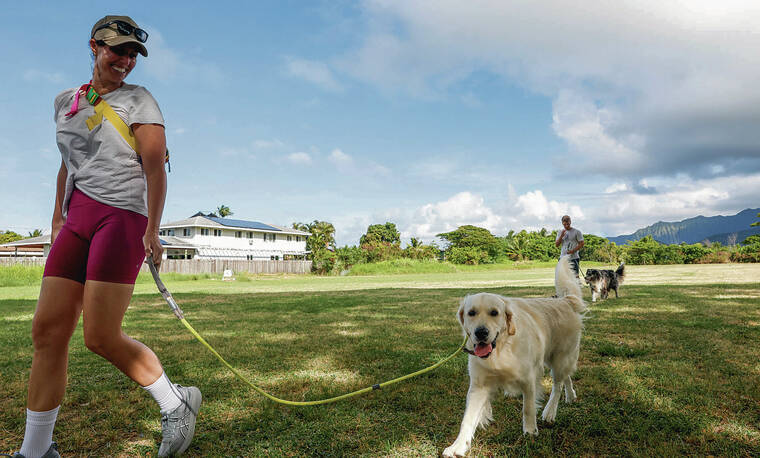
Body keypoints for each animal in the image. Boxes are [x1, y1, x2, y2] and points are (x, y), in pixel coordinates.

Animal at [443, 256, 587, 457]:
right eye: (471, 313)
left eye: (494, 313)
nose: (481, 332)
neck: (501, 348)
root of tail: (565, 300)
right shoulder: (479, 385)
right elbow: (468, 418)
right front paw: (458, 445)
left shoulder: (528, 378)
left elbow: (528, 408)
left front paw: (530, 431)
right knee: (567, 377)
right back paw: (571, 395)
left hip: (560, 357)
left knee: (558, 384)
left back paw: (550, 411)